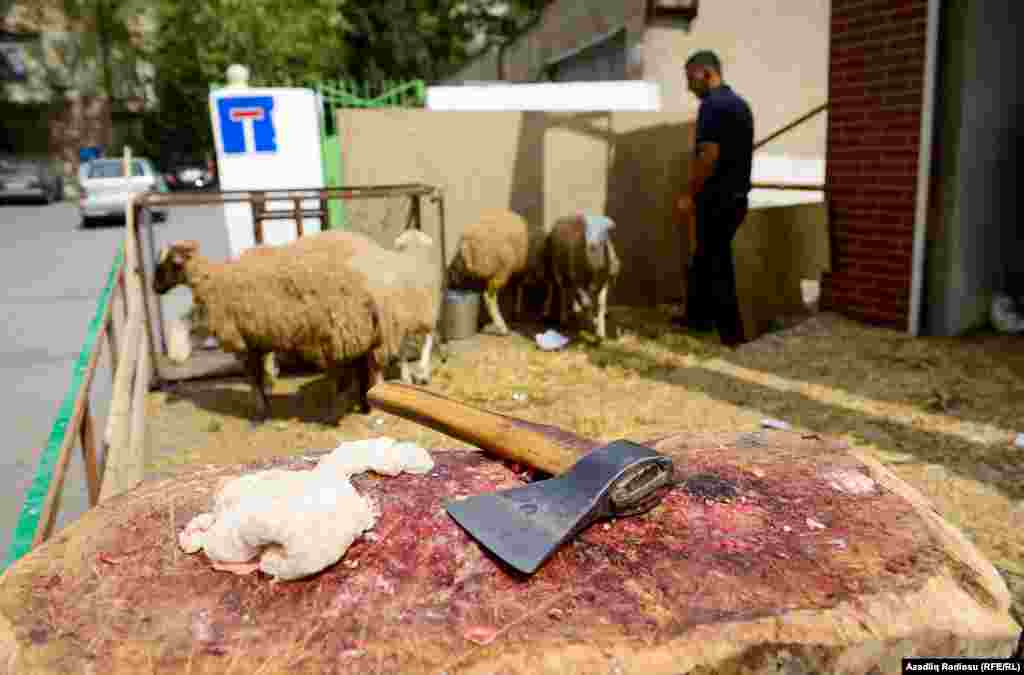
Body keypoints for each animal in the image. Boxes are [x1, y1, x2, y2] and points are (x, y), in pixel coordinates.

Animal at [151, 238, 387, 422]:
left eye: (164, 265)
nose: (155, 288)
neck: (212, 282)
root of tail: (366, 296)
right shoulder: (256, 341)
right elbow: (259, 375)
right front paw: (265, 400)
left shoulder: (243, 342)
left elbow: (253, 378)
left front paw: (260, 411)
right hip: (356, 335)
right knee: (362, 368)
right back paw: (364, 407)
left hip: (341, 334)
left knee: (353, 372)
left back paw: (338, 412)